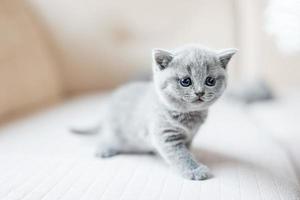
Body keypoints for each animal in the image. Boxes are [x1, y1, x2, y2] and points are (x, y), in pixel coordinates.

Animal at [73, 45, 237, 181]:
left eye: (210, 81)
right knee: (104, 136)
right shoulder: (166, 135)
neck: (189, 117)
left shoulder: (189, 136)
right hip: (114, 131)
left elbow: (187, 150)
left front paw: (193, 158)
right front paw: (194, 170)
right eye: (185, 81)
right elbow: (181, 155)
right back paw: (104, 148)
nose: (200, 93)